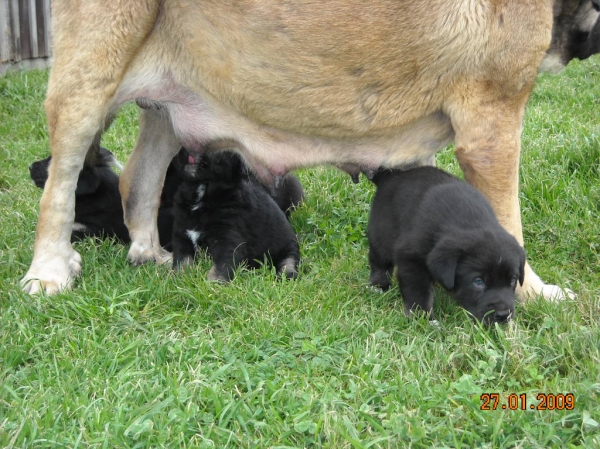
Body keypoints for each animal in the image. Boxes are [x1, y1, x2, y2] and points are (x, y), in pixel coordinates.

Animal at [171, 148, 300, 280]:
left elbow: (221, 266)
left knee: (288, 261)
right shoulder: (182, 235)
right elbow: (182, 261)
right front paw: (180, 277)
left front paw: (214, 283)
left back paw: (287, 275)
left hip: (288, 246)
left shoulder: (228, 238)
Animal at [368, 166, 528, 324]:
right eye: (478, 281)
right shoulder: (411, 257)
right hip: (382, 232)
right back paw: (379, 284)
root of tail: (390, 177)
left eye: (513, 280)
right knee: (378, 260)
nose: (503, 315)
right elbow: (418, 290)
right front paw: (423, 318)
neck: (471, 221)